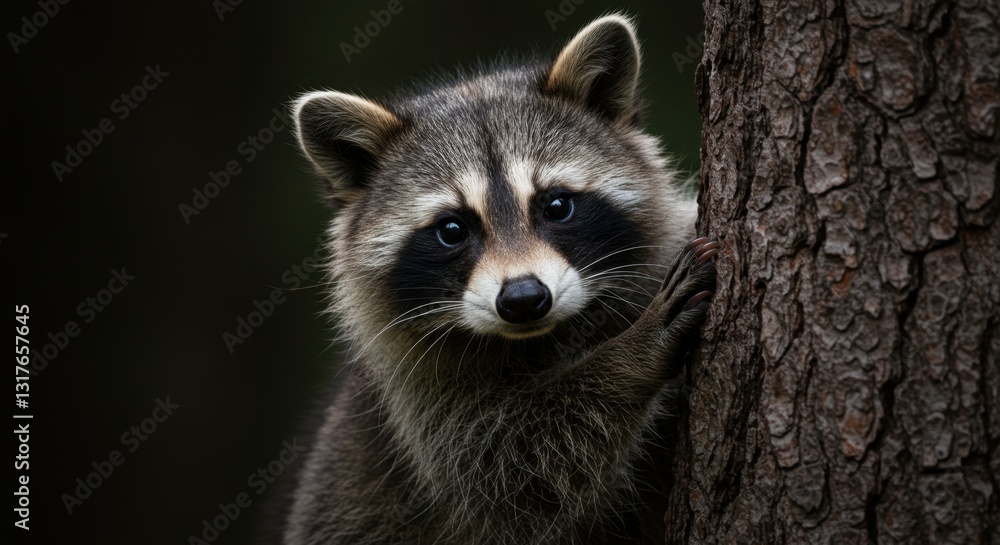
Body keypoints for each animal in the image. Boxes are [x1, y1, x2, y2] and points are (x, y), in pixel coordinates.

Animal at [284, 14, 718, 545]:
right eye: (452, 230)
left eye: (557, 205)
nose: (524, 298)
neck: (544, 337)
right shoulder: (418, 400)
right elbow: (517, 466)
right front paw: (629, 360)